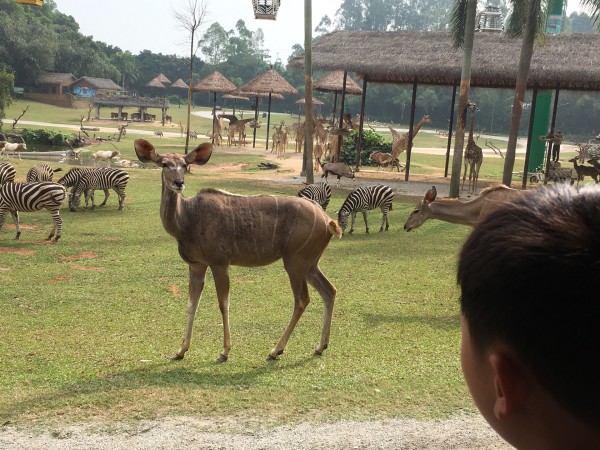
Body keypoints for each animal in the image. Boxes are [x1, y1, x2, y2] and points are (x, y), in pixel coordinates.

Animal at [135, 137, 342, 362]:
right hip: (310, 263)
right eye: (164, 164)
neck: (187, 219)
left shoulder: (219, 262)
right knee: (329, 290)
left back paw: (275, 350)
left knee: (302, 299)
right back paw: (320, 346)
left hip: (295, 261)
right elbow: (192, 303)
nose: (179, 183)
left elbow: (223, 303)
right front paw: (180, 351)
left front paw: (224, 351)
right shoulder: (197, 265)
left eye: (184, 164)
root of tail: (328, 221)